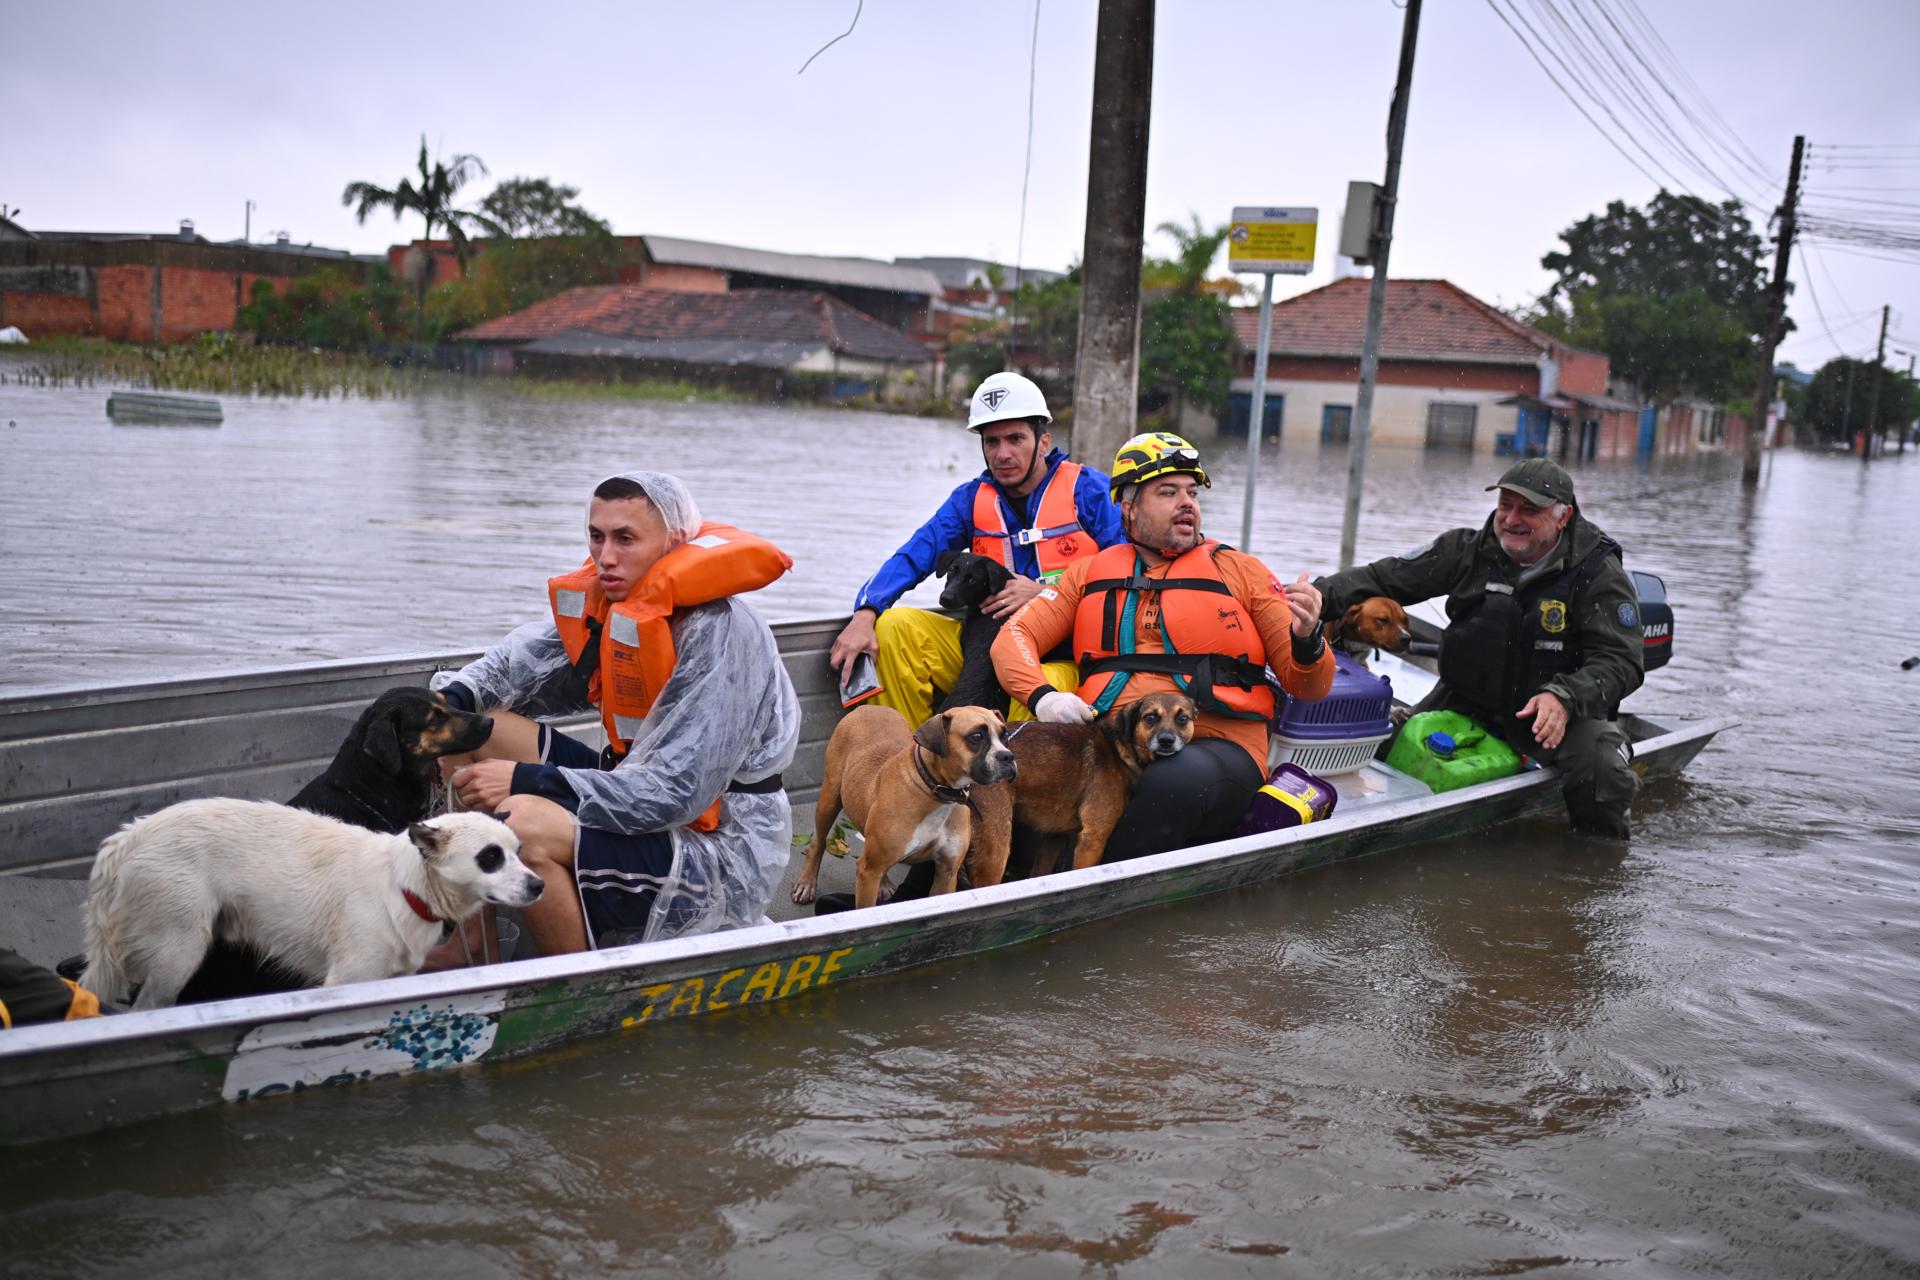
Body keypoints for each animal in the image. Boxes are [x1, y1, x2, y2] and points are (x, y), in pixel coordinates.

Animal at [83, 802, 545, 1013]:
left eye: (519, 852)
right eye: (489, 858)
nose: (539, 885)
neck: (405, 886)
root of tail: (125, 841)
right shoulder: (346, 982)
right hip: (178, 956)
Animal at [787, 710, 1021, 909]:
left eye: (1005, 735)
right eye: (976, 736)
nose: (1008, 756)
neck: (936, 792)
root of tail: (867, 707)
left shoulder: (946, 872)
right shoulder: (868, 873)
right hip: (829, 800)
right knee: (818, 843)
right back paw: (807, 882)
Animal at [990, 690, 1198, 882]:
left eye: (1182, 718)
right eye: (1151, 717)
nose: (1166, 740)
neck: (1119, 748)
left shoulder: (1054, 837)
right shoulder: (1093, 838)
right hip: (997, 847)